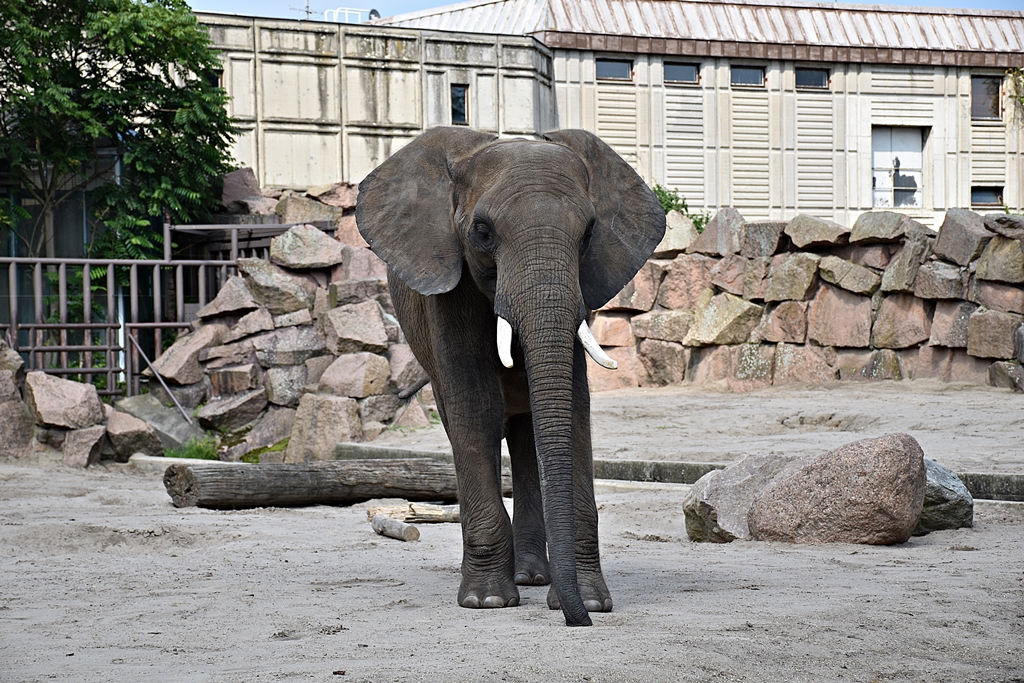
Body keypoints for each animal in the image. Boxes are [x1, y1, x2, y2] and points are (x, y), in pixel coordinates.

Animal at [355, 127, 665, 626]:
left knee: (526, 432)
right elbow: (475, 406)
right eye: (481, 232)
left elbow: (573, 409)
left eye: (589, 233)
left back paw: (533, 578)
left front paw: (590, 601)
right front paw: (487, 602)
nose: (580, 622)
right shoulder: (450, 285)